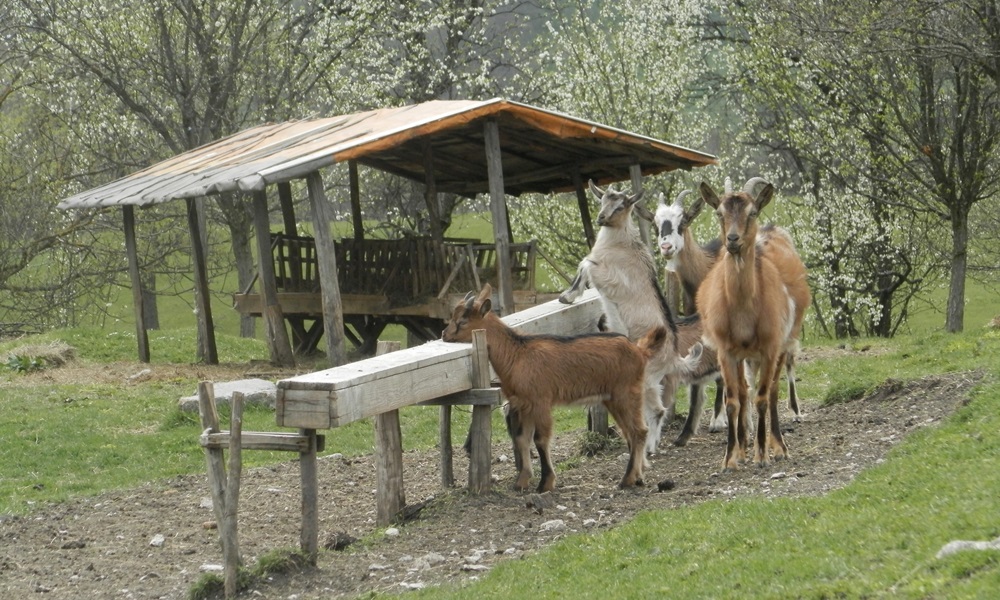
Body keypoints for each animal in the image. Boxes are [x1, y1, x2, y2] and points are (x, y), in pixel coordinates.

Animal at [560, 180, 716, 452]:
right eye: (602, 200)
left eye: (621, 205)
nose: (601, 219)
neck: (620, 244)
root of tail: (675, 357)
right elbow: (585, 262)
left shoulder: (609, 277)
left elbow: (585, 263)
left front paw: (568, 296)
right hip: (648, 381)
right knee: (655, 410)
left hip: (646, 379)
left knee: (657, 410)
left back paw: (648, 448)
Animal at [696, 180, 812, 472]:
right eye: (719, 213)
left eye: (752, 212)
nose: (733, 240)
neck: (743, 313)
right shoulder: (726, 351)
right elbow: (733, 400)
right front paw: (731, 457)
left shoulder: (770, 347)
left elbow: (762, 396)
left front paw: (762, 455)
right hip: (745, 356)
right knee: (744, 391)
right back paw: (743, 445)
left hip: (782, 344)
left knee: (771, 392)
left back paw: (778, 447)